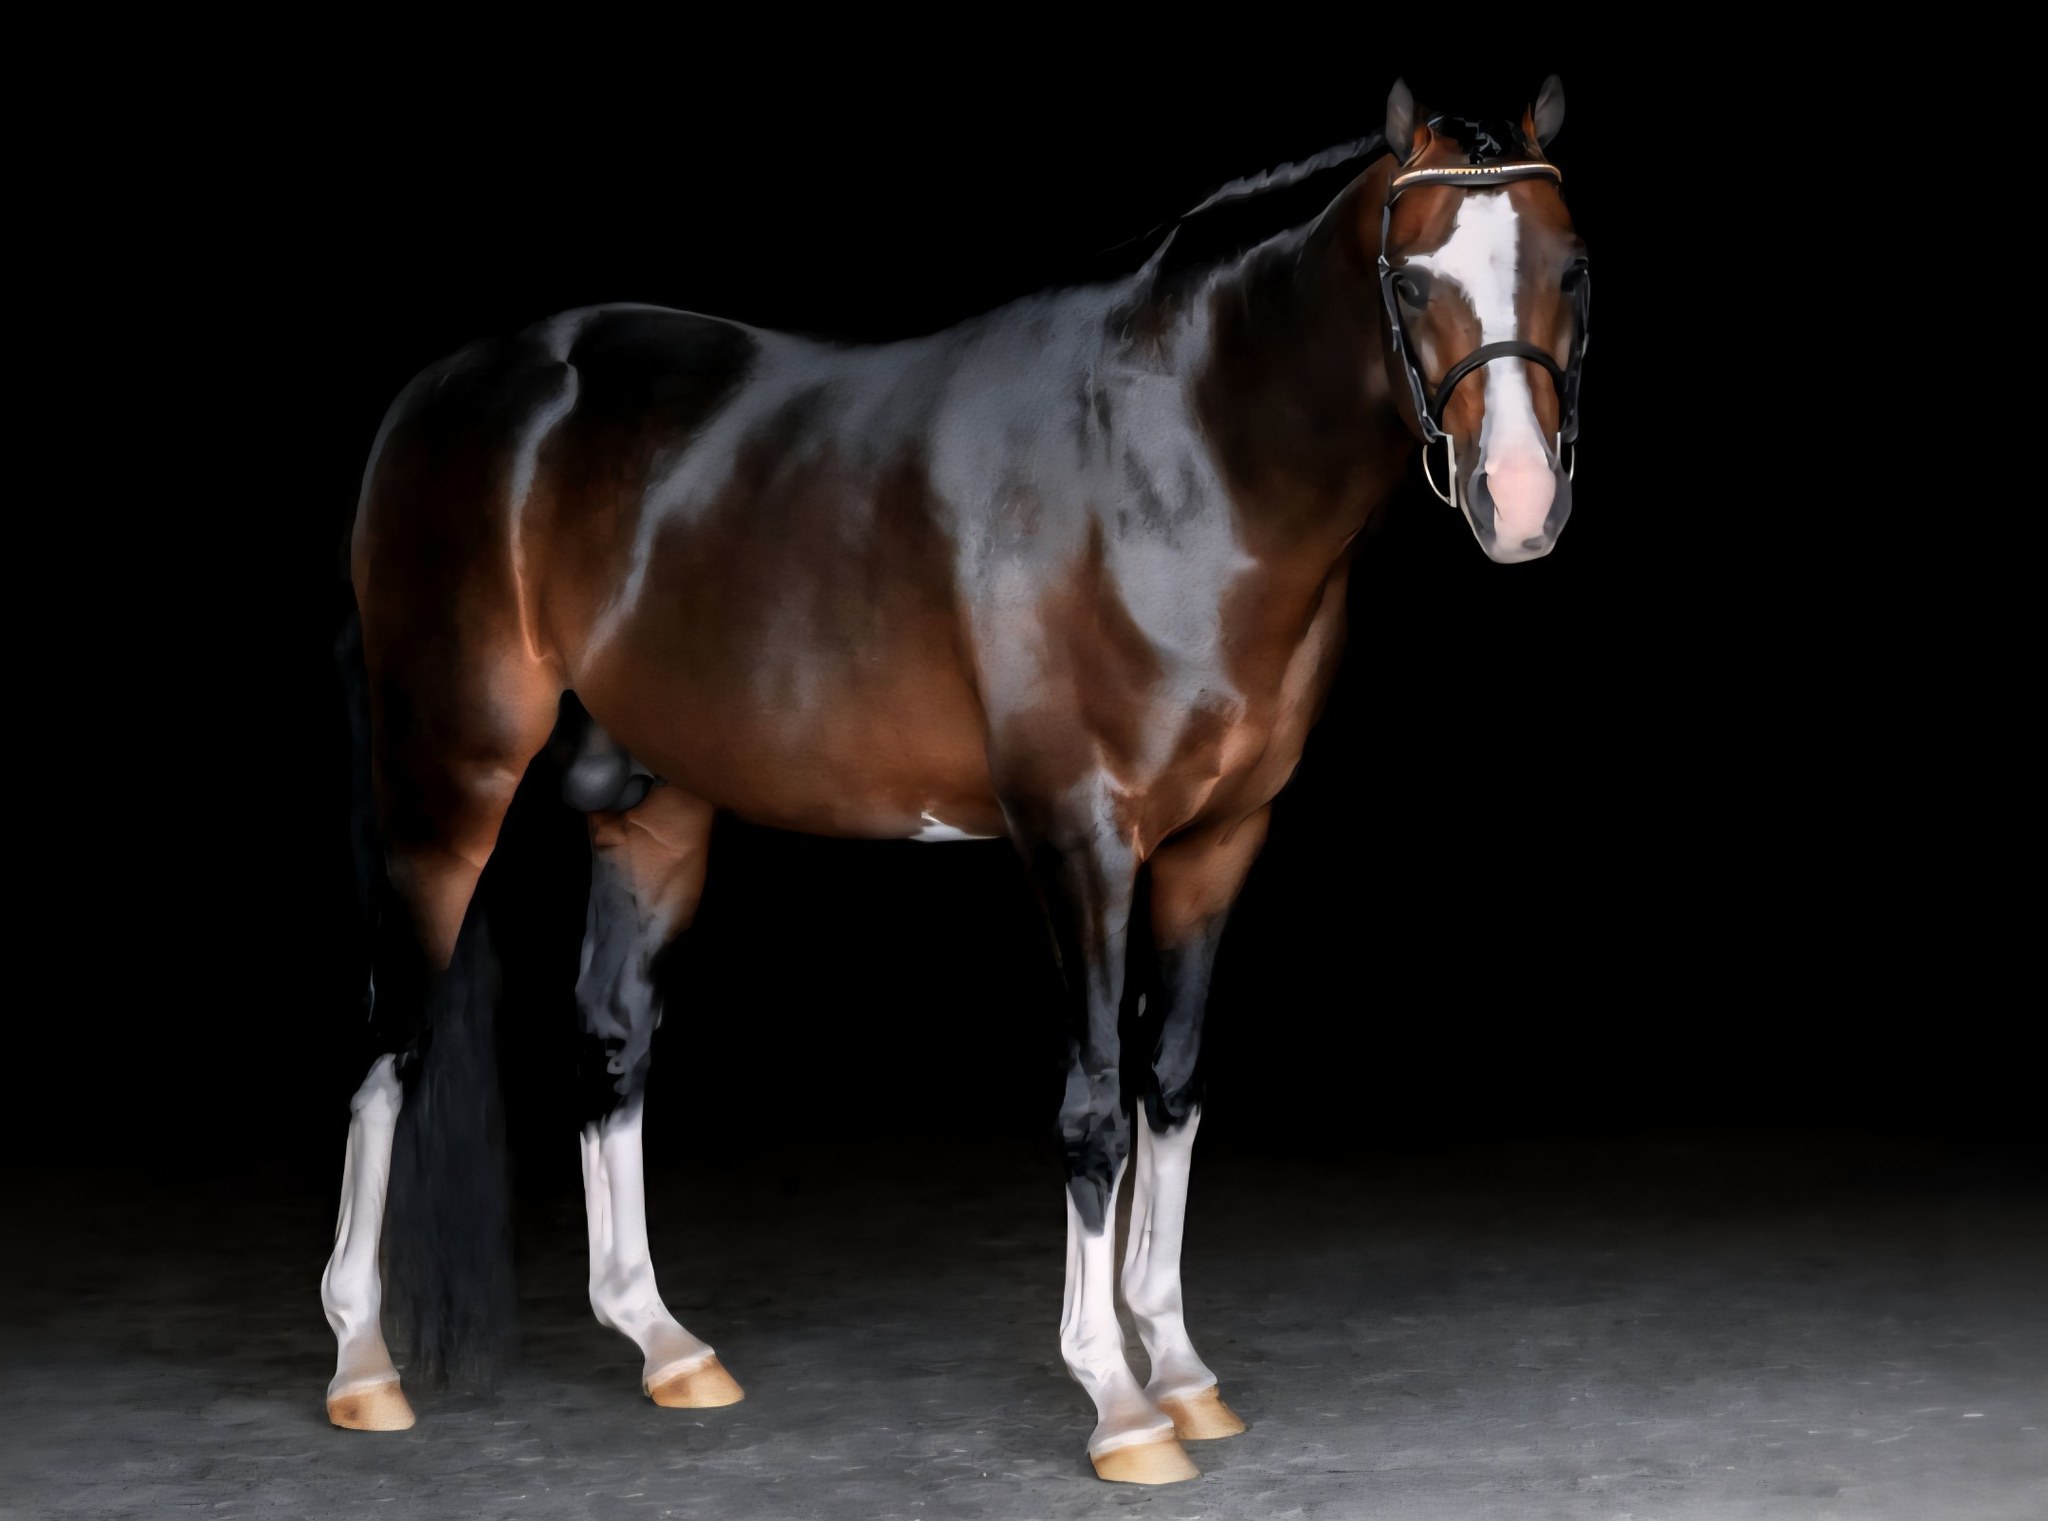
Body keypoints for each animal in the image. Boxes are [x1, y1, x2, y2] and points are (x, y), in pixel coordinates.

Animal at [320, 74, 1591, 1485]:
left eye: (1570, 270)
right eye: (1413, 280)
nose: (1518, 501)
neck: (1174, 459)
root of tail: (443, 393)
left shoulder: (1218, 844)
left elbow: (1172, 1088)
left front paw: (1181, 1369)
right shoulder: (1078, 841)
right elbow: (1094, 1108)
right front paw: (1117, 1401)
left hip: (655, 811)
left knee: (610, 1040)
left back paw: (665, 1345)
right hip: (449, 776)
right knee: (389, 1037)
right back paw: (362, 1366)